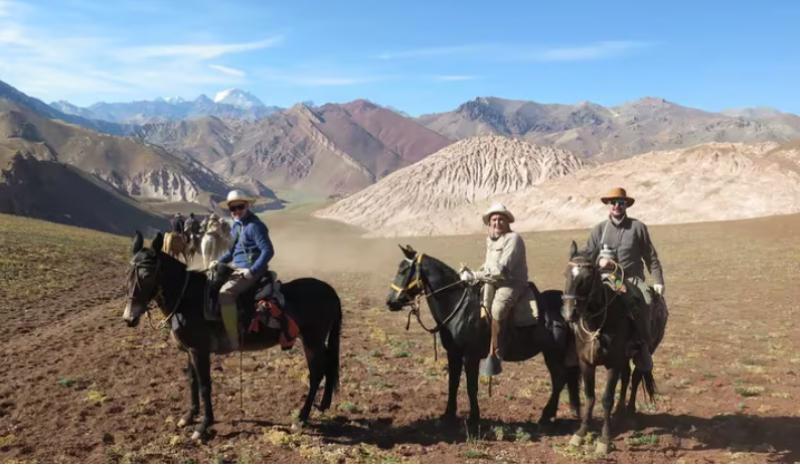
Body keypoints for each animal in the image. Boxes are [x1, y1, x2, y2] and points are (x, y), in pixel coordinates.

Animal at [123, 233, 342, 442]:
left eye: (147, 275)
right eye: (128, 274)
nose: (129, 318)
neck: (187, 299)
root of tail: (331, 291)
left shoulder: (200, 351)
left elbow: (204, 385)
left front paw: (203, 426)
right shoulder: (190, 350)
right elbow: (192, 381)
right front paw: (189, 416)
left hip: (312, 342)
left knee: (316, 375)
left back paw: (302, 418)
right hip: (317, 343)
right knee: (328, 367)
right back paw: (323, 406)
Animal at [560, 243, 664, 456]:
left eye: (587, 277)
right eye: (566, 274)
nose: (568, 313)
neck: (598, 323)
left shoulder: (613, 364)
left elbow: (606, 399)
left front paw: (605, 440)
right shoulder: (586, 363)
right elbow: (589, 397)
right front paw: (581, 433)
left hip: (644, 351)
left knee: (636, 377)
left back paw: (630, 412)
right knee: (626, 378)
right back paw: (619, 411)